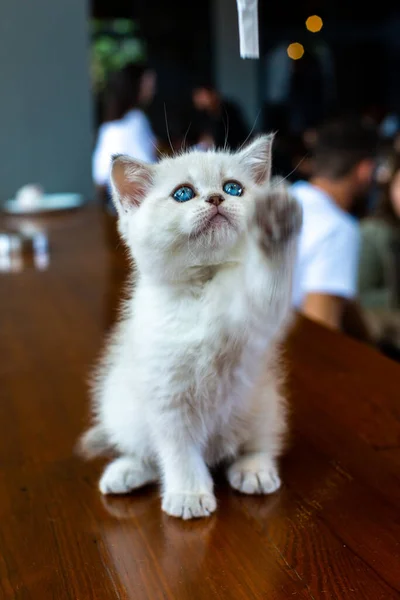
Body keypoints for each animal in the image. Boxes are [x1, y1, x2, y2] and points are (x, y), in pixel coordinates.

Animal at [79, 134, 302, 516]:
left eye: (234, 188)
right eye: (183, 193)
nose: (216, 198)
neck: (202, 288)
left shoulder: (257, 315)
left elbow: (267, 288)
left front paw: (275, 226)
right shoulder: (167, 397)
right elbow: (178, 451)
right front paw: (189, 494)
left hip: (264, 403)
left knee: (259, 442)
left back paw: (254, 470)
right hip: (121, 407)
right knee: (147, 452)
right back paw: (126, 472)